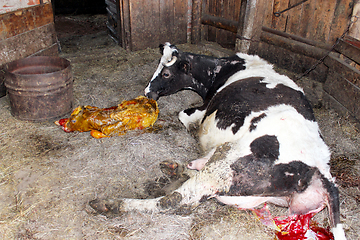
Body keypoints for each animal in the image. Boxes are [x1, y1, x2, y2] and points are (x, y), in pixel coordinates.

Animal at [89, 43, 346, 240]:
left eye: (166, 73)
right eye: (158, 67)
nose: (147, 92)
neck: (224, 69)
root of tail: (321, 167)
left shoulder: (201, 111)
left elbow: (184, 116)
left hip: (228, 167)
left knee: (177, 200)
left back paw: (111, 204)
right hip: (245, 188)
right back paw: (176, 168)